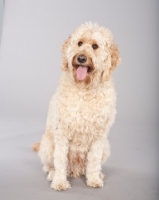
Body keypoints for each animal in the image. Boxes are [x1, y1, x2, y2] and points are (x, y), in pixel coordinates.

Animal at [32, 21, 120, 191]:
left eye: (95, 46)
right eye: (79, 43)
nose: (81, 58)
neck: (84, 90)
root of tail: (75, 169)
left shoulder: (99, 136)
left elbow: (93, 161)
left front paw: (94, 179)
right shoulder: (62, 133)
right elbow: (60, 160)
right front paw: (59, 182)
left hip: (106, 147)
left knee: (89, 165)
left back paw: (96, 174)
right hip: (47, 145)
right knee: (51, 165)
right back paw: (53, 174)